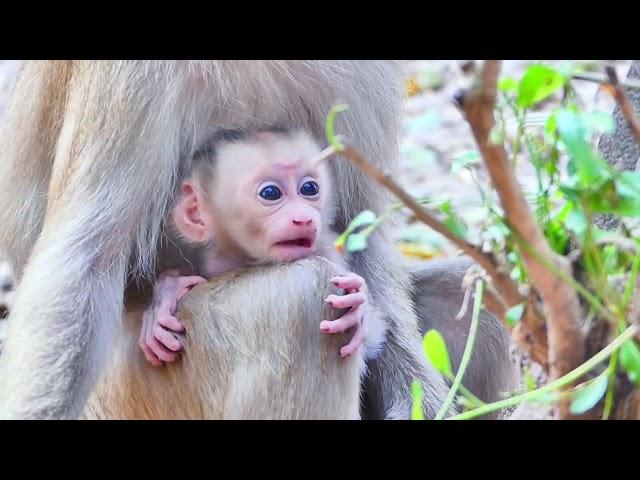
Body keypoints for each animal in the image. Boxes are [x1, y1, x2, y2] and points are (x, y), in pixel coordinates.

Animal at [139, 127, 384, 368]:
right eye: (270, 193)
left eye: (309, 188)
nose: (303, 219)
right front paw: (165, 298)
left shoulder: (329, 251)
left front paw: (358, 305)